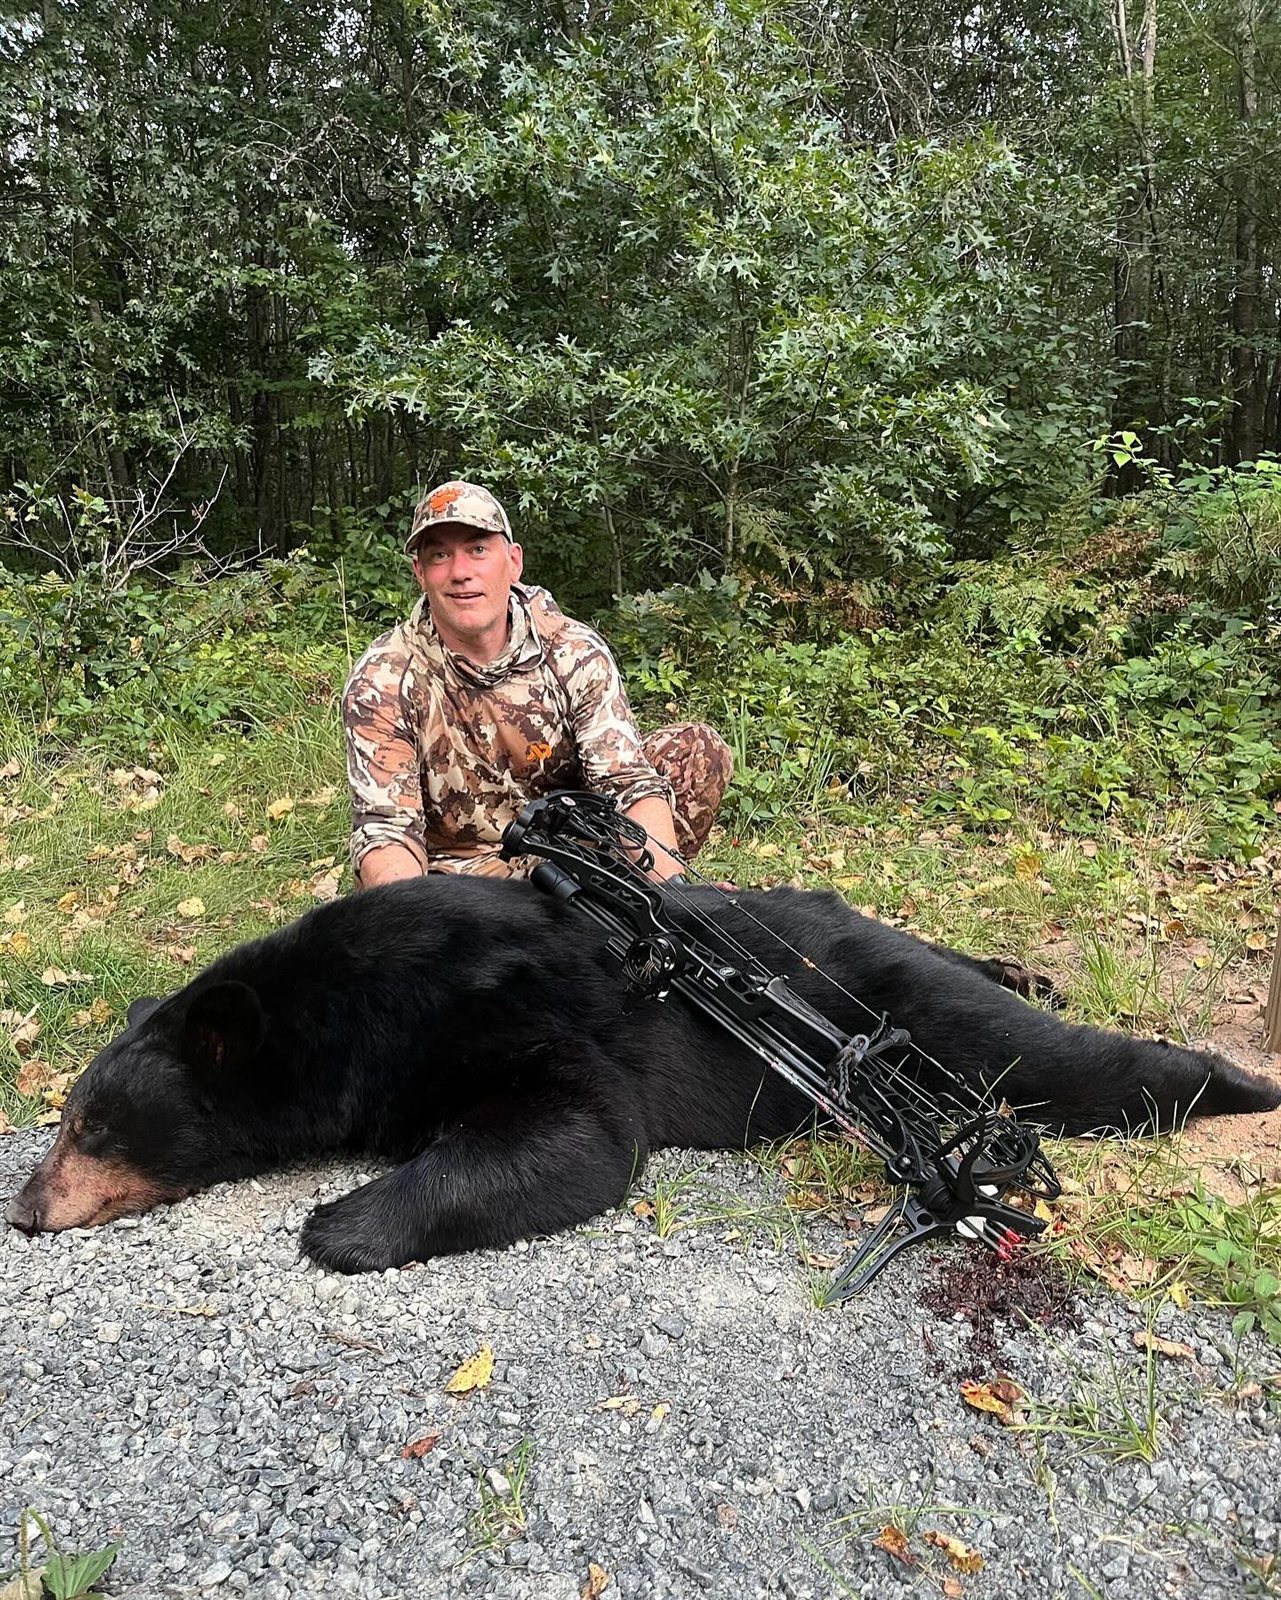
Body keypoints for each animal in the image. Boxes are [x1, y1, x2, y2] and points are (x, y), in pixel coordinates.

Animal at [6, 874, 1278, 1274]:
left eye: (94, 1126)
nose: (24, 1205)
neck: (345, 1014)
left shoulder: (507, 1004)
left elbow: (577, 1131)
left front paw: (341, 1220)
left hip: (885, 997)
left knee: (1035, 1051)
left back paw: (1241, 1083)